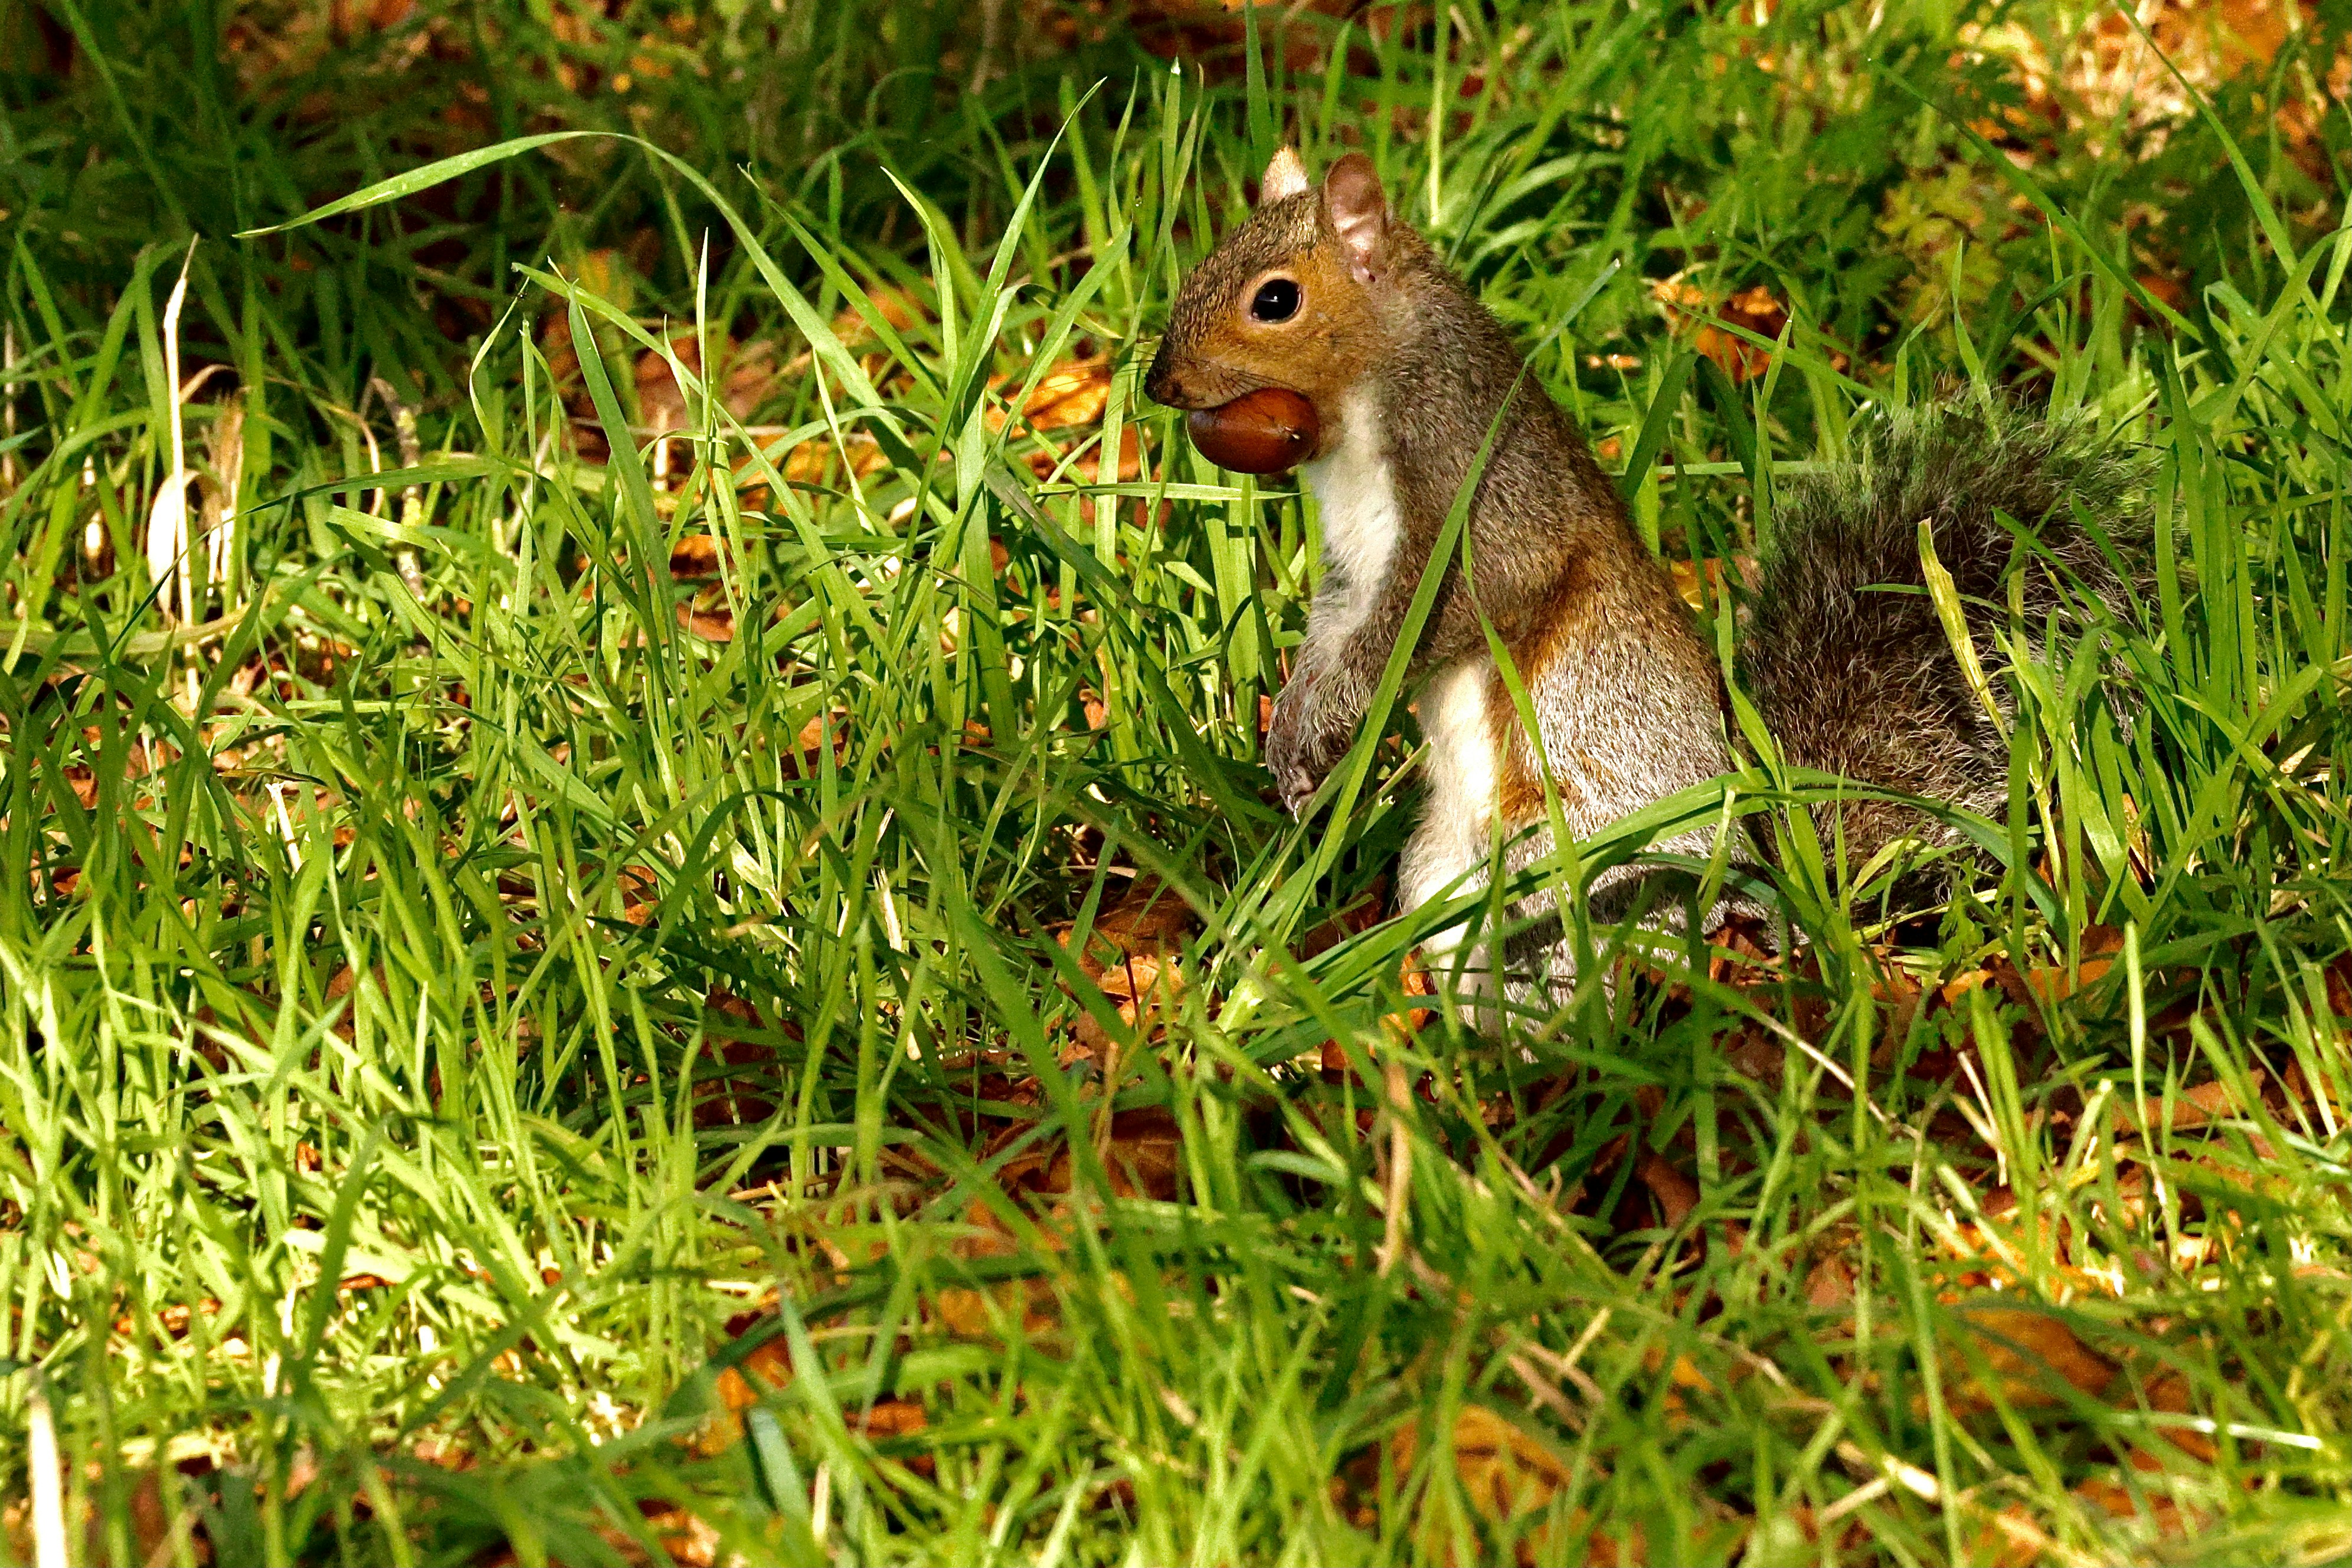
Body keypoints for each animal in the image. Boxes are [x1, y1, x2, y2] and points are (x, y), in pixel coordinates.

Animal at [1144, 147, 2139, 999]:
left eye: (1276, 300)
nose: (1160, 385)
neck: (1358, 406)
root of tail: (1755, 892)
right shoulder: (1353, 566)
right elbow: (1333, 632)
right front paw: (1294, 731)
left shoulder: (1475, 499)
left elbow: (1436, 618)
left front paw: (1339, 717)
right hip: (1446, 869)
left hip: (1561, 854)